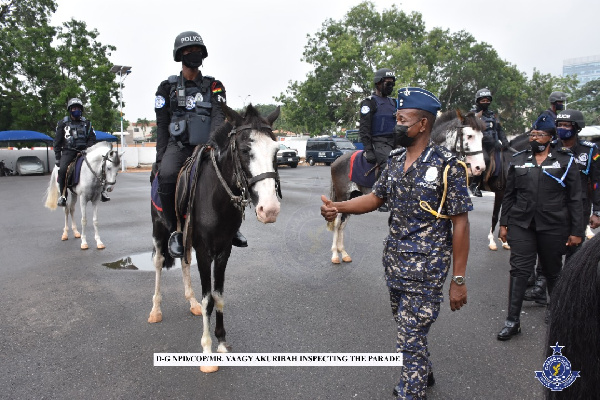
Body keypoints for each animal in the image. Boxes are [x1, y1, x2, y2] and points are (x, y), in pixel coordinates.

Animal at [149, 103, 282, 372]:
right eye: (244, 150)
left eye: (276, 150)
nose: (270, 210)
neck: (216, 197)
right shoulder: (204, 252)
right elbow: (208, 299)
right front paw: (207, 350)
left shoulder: (223, 251)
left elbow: (218, 296)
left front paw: (221, 342)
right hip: (159, 230)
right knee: (158, 263)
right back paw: (155, 309)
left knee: (184, 262)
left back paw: (191, 303)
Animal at [326, 109, 486, 264]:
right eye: (469, 136)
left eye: (482, 137)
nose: (480, 167)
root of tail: (337, 160)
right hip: (342, 196)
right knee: (337, 223)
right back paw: (334, 254)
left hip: (353, 196)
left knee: (343, 223)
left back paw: (343, 253)